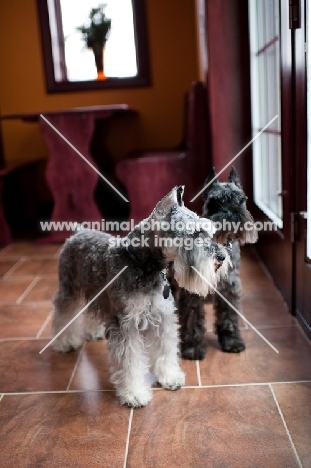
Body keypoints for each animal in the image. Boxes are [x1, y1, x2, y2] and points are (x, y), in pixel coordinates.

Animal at [52, 186, 230, 406]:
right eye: (193, 234)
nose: (222, 256)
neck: (141, 264)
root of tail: (78, 232)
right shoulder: (126, 325)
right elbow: (129, 362)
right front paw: (134, 393)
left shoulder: (163, 317)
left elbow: (165, 350)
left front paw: (169, 377)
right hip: (68, 289)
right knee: (63, 313)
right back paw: (65, 341)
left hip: (96, 293)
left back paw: (95, 332)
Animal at [171, 167, 258, 358]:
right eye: (214, 202)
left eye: (241, 200)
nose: (231, 216)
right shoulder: (191, 294)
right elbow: (192, 320)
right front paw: (193, 348)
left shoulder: (229, 289)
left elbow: (228, 317)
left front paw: (232, 341)